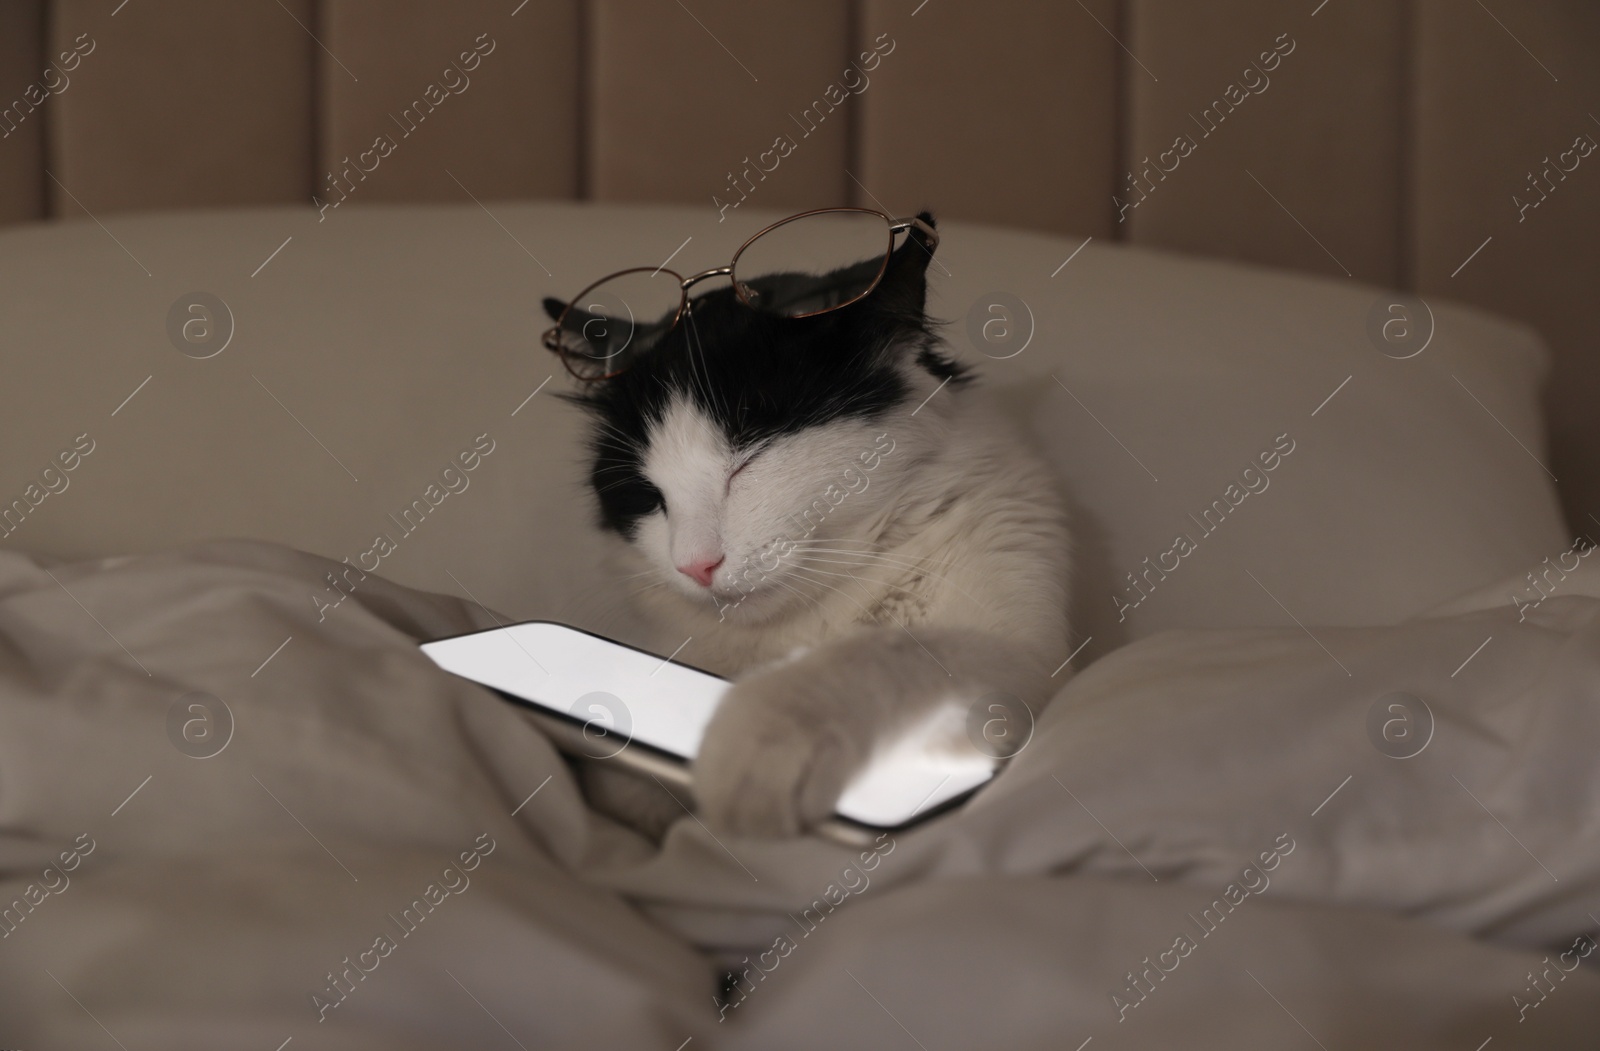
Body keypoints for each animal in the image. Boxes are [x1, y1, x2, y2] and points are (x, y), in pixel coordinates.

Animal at [550, 212, 1075, 838]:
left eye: (748, 460)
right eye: (646, 496)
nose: (695, 565)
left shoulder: (1025, 654)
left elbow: (891, 653)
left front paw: (760, 735)